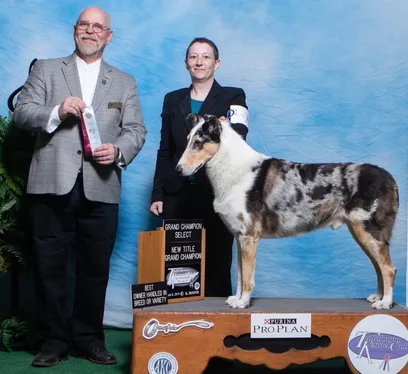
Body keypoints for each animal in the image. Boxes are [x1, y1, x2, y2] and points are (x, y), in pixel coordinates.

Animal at [176, 113, 398, 310]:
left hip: (368, 232)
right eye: (187, 140)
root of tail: (390, 178)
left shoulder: (249, 237)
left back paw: (385, 303)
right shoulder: (240, 237)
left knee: (388, 268)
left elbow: (247, 277)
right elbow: (239, 275)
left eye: (198, 143)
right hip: (362, 234)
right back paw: (378, 296)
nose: (177, 170)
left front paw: (243, 303)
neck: (231, 169)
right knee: (378, 266)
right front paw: (236, 299)